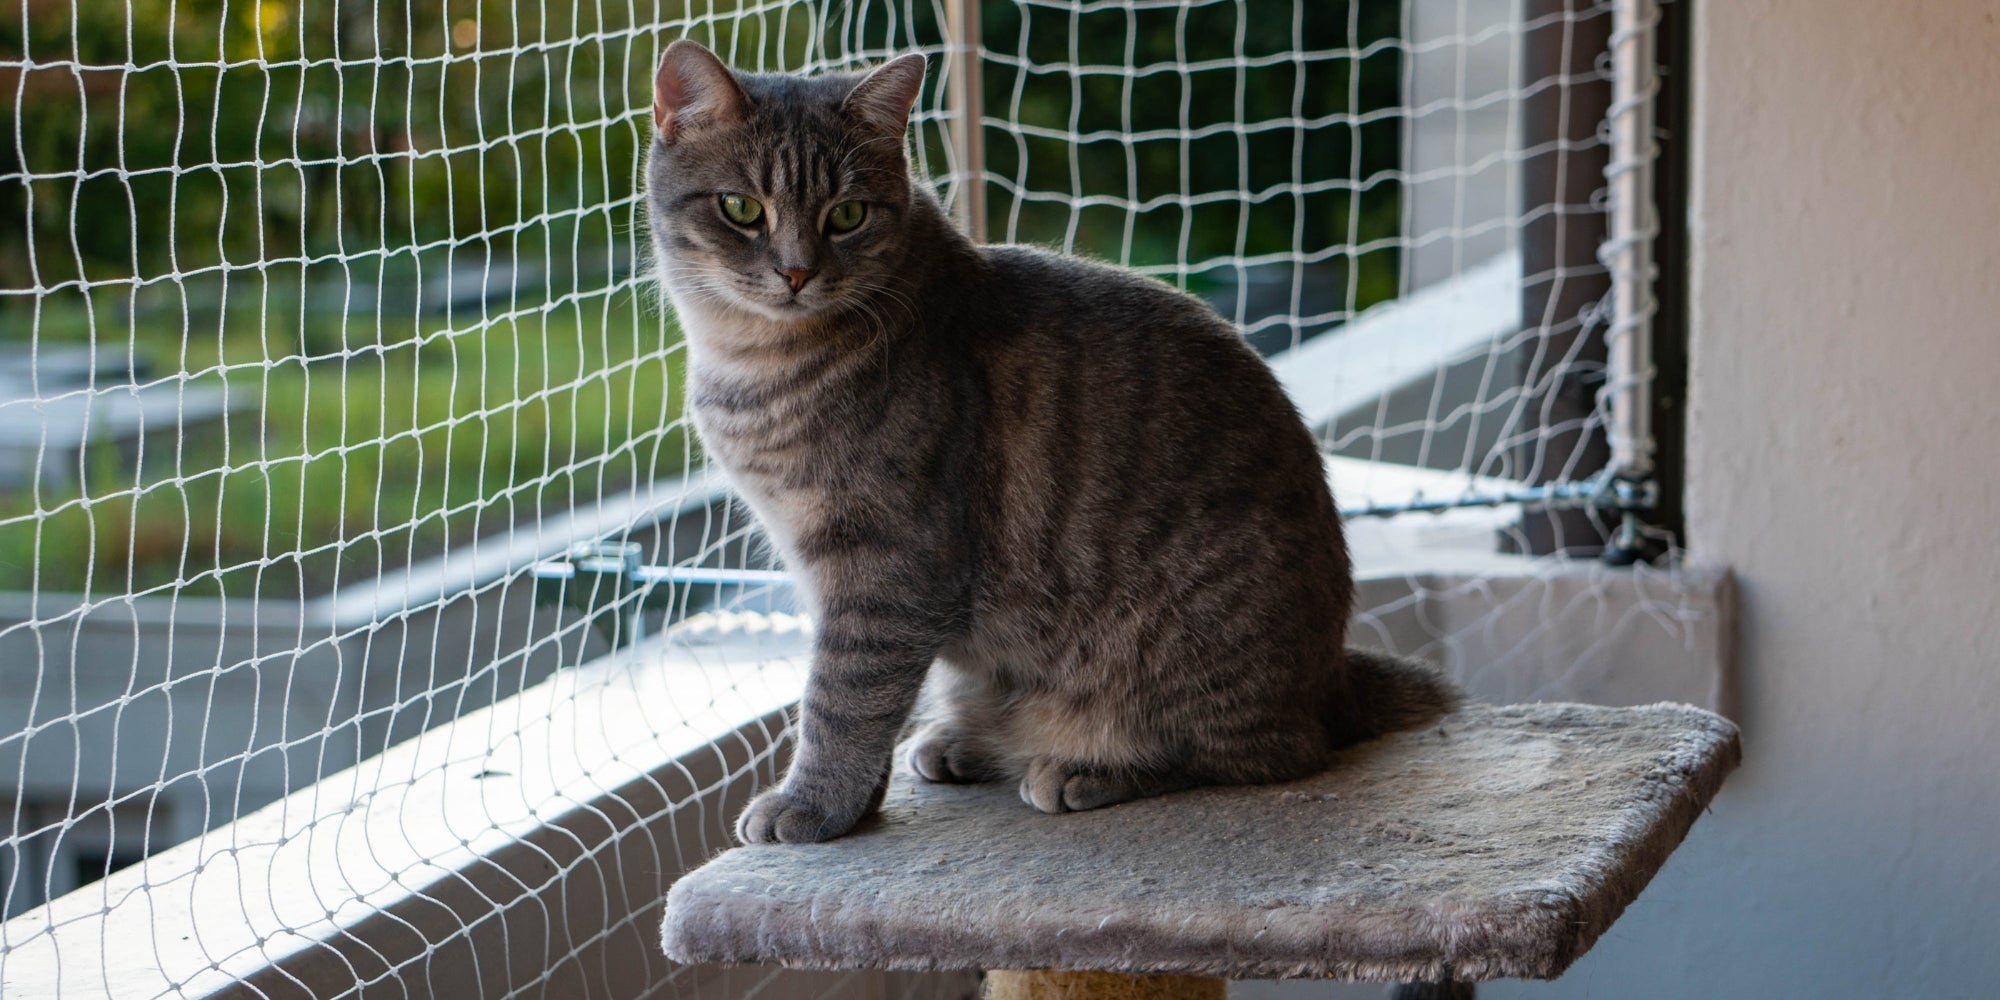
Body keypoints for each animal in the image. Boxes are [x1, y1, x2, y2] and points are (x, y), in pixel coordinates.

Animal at [648, 43, 1464, 848]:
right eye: (742, 208)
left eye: (846, 214)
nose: (795, 271)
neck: (750, 362)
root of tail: (1331, 678)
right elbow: (858, 699)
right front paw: (854, 802)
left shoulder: (888, 566)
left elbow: (843, 700)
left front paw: (813, 805)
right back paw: (964, 742)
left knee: (1265, 752)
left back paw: (1084, 767)